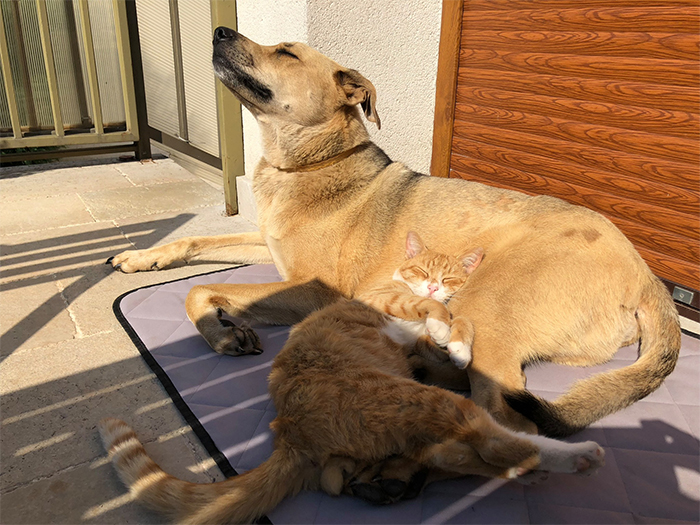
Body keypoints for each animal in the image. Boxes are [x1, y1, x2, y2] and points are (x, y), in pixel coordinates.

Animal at [358, 231, 484, 370]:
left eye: (448, 279)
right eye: (423, 271)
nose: (433, 288)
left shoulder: (422, 344)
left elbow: (462, 319)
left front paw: (461, 349)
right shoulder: (376, 295)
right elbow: (429, 303)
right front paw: (440, 326)